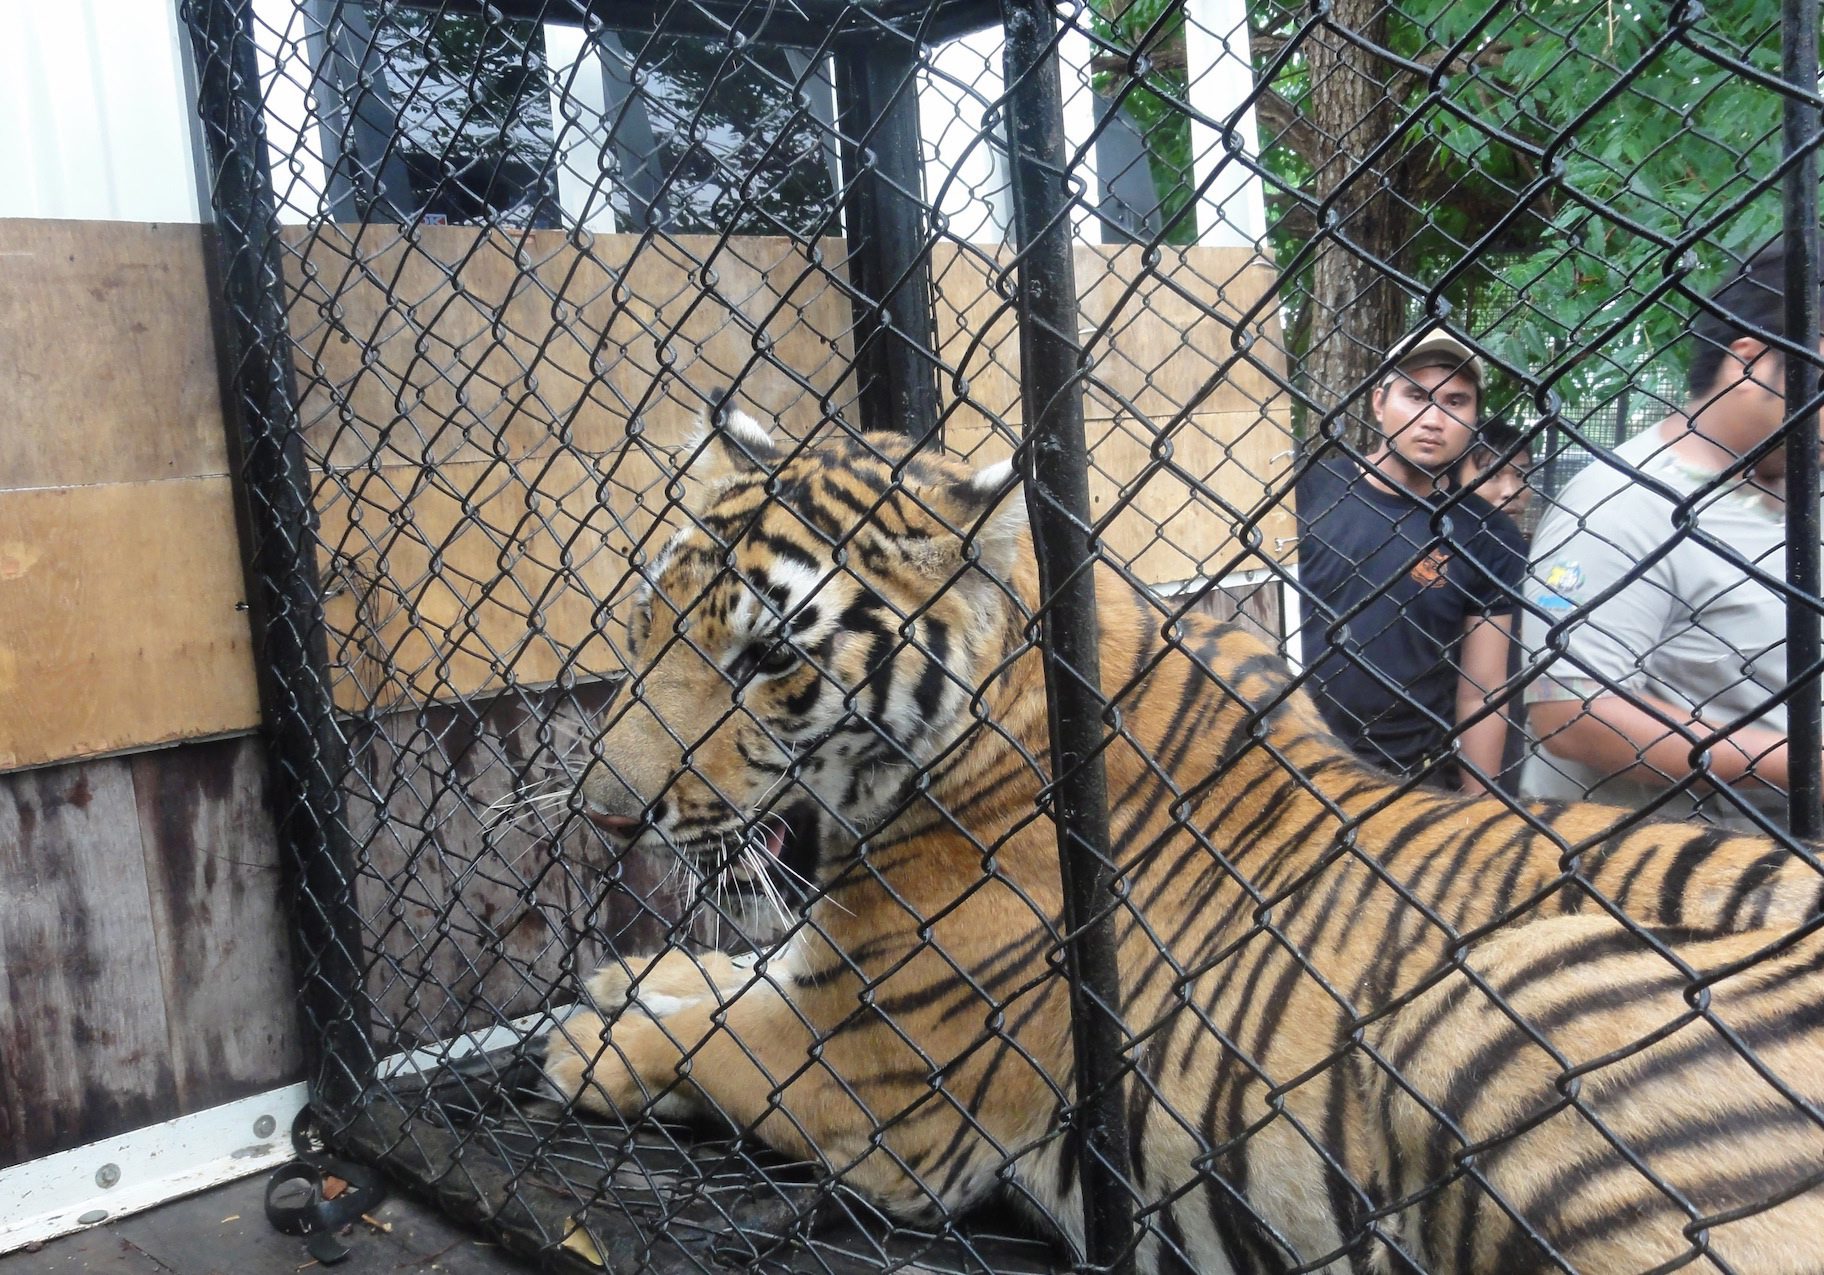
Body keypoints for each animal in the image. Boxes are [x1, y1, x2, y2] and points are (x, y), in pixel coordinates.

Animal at [539, 414, 1824, 1269]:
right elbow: (737, 970)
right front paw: (634, 976)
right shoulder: (829, 980)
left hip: (1495, 1015)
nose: (605, 810)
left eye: (768, 658)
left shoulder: (876, 1071)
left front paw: (593, 1046)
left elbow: (721, 1039)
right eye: (647, 620)